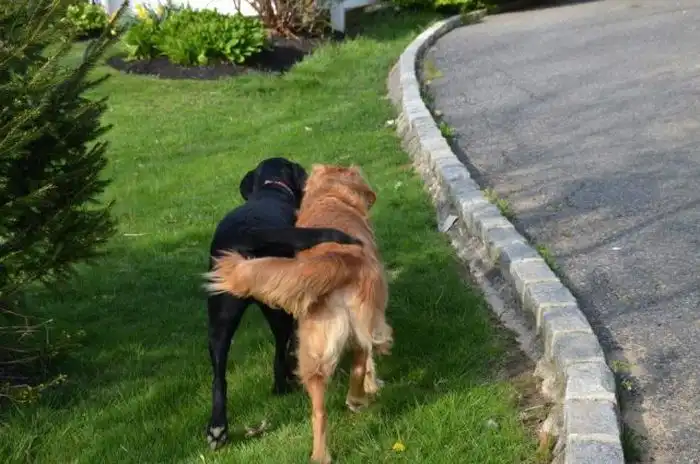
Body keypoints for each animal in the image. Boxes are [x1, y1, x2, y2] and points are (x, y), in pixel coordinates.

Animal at [205, 164, 393, 463]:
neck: (331, 196)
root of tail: (337, 261)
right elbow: (369, 365)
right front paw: (374, 384)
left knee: (317, 410)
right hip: (361, 325)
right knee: (360, 361)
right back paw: (357, 400)